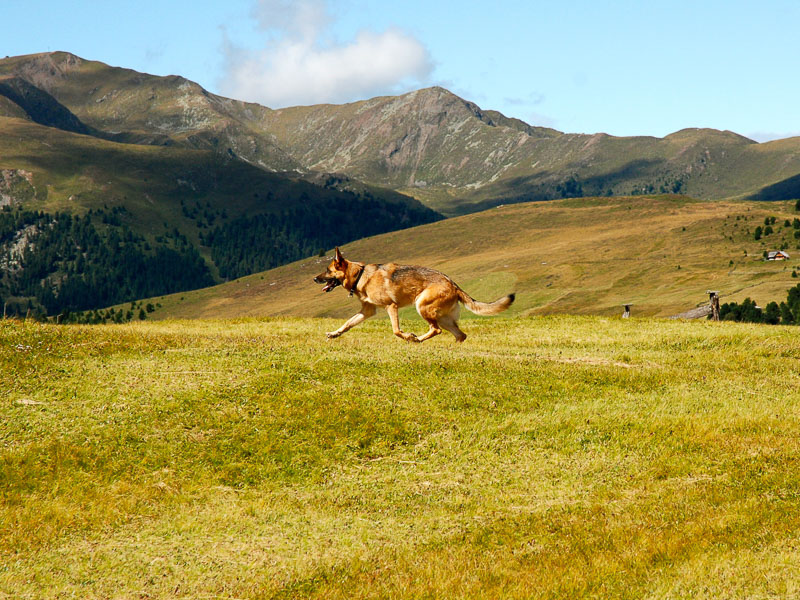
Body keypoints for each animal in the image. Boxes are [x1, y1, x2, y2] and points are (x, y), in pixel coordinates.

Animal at [310, 247, 516, 342]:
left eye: (327, 270)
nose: (314, 279)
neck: (360, 275)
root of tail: (453, 284)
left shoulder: (391, 306)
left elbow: (396, 330)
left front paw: (408, 336)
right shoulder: (367, 312)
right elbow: (347, 324)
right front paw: (334, 334)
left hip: (422, 307)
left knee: (436, 330)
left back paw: (416, 340)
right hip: (444, 318)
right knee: (460, 335)